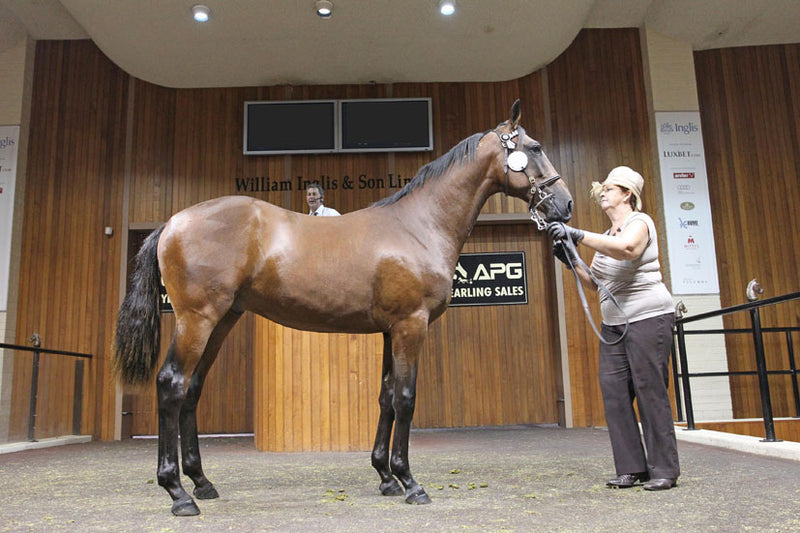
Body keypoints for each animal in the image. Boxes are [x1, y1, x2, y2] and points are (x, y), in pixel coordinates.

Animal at [114, 100, 573, 516]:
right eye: (533, 147)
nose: (565, 205)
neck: (418, 225)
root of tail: (173, 222)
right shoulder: (411, 326)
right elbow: (406, 398)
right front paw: (410, 482)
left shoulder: (391, 330)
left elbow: (386, 397)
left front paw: (386, 476)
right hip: (197, 320)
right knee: (171, 384)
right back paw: (178, 493)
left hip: (222, 320)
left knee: (192, 389)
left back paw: (201, 482)